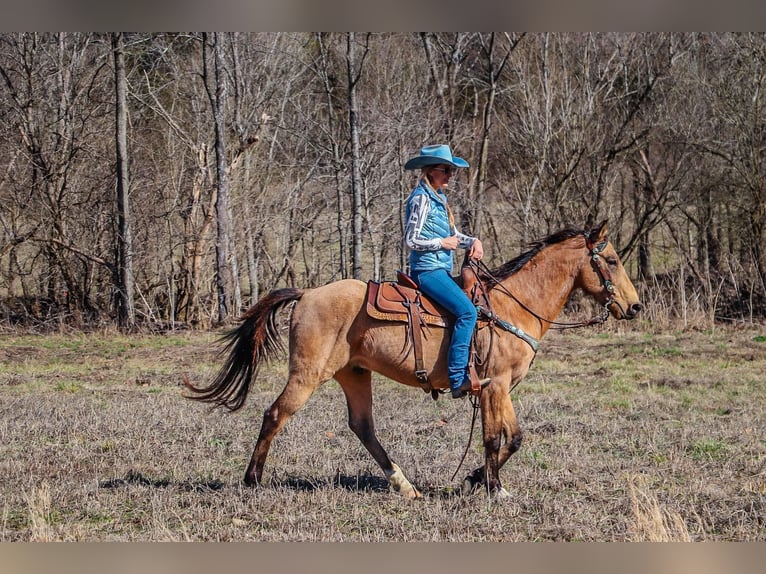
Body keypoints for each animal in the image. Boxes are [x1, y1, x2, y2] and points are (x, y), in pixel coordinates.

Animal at [184, 220, 640, 500]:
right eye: (612, 260)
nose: (635, 307)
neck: (512, 306)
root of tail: (308, 293)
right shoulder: (493, 385)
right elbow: (494, 438)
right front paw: (493, 489)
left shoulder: (501, 388)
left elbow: (514, 437)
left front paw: (476, 479)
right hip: (307, 375)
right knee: (275, 414)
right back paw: (253, 480)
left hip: (354, 374)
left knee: (363, 427)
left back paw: (404, 485)